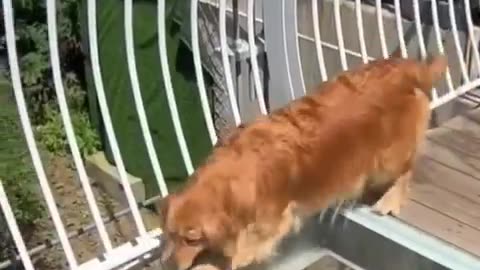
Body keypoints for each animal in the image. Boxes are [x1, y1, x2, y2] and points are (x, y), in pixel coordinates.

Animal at [157, 55, 446, 270]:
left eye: (191, 240)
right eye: (169, 234)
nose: (167, 265)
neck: (236, 172)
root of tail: (408, 67)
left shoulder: (269, 225)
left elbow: (240, 251)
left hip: (388, 159)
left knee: (406, 170)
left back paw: (389, 200)